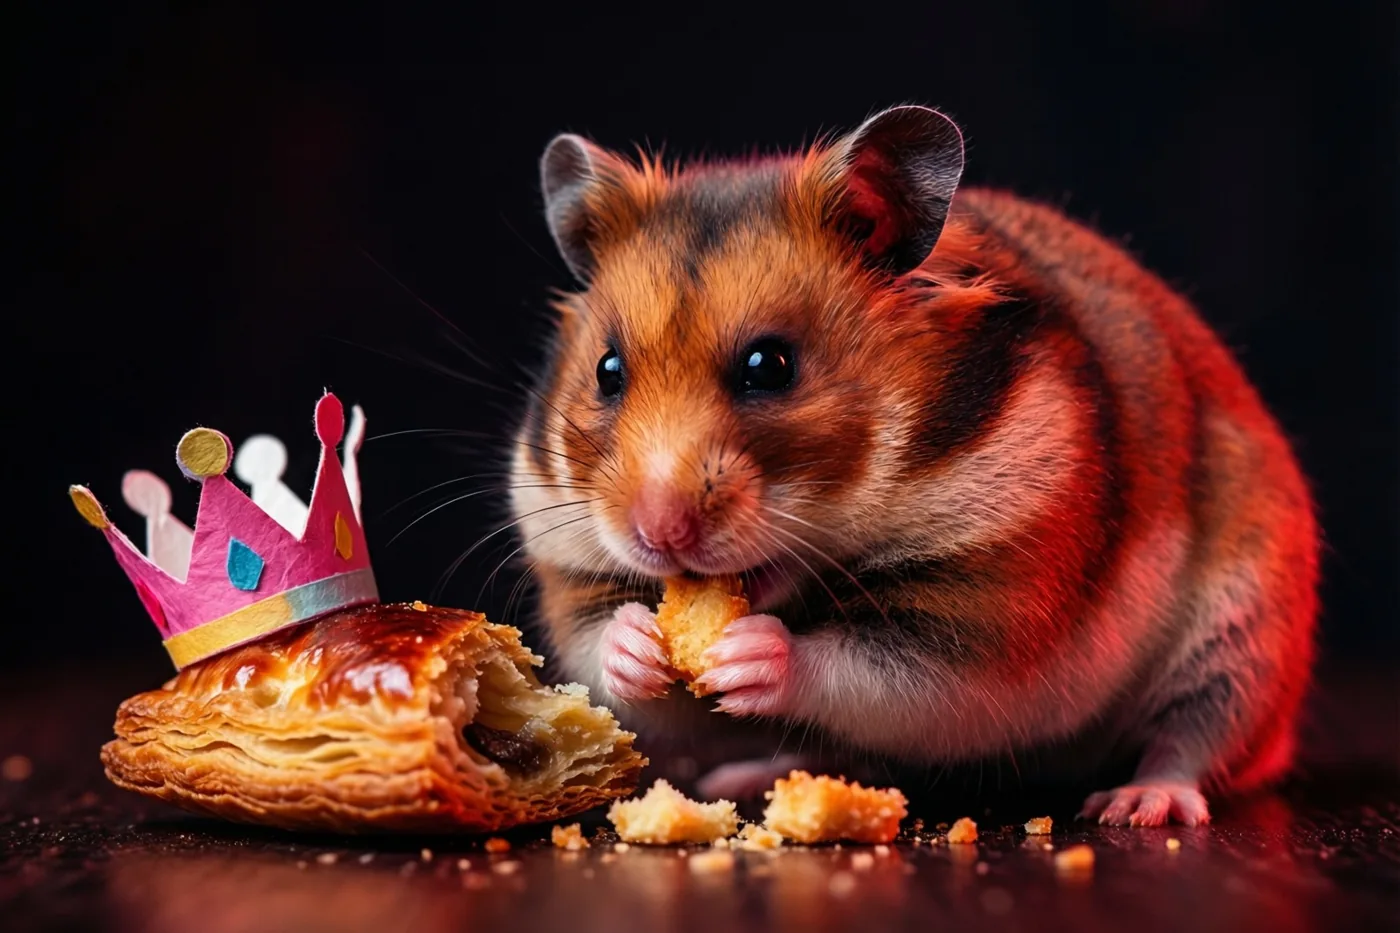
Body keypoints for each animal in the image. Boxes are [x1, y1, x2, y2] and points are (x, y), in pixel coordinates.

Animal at [508, 105, 1318, 826]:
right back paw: (751, 773)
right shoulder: (570, 566)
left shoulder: (985, 613)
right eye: (608, 371)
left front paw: (753, 652)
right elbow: (606, 650)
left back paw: (1137, 804)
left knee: (1196, 737)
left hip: (1245, 631)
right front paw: (638, 643)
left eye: (769, 367)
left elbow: (872, 670)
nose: (657, 535)